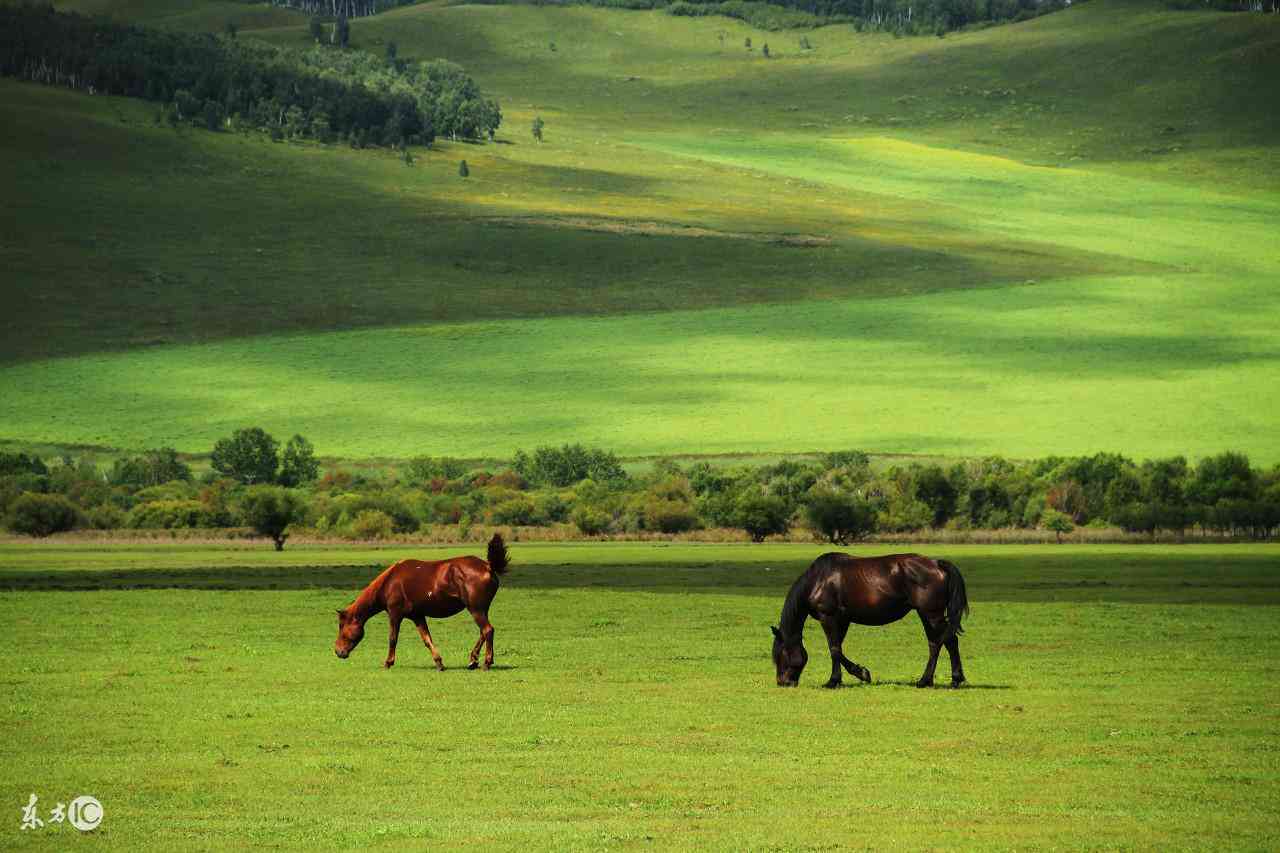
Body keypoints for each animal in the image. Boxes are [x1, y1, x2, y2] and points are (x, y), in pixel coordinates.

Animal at [335, 532, 509, 671]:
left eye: (341, 627)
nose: (338, 651)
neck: (390, 581)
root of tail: (488, 566)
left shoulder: (395, 614)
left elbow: (392, 638)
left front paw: (388, 662)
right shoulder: (417, 616)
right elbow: (427, 639)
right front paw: (439, 663)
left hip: (476, 609)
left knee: (488, 630)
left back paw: (486, 662)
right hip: (480, 609)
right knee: (483, 632)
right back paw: (473, 660)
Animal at [768, 550, 967, 686]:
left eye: (780, 654)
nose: (782, 682)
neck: (819, 580)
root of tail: (936, 564)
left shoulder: (828, 617)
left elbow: (834, 649)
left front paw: (850, 676)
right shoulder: (842, 620)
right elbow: (838, 648)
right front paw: (841, 677)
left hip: (932, 615)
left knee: (949, 641)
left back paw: (955, 680)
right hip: (925, 614)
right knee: (935, 644)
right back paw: (925, 680)